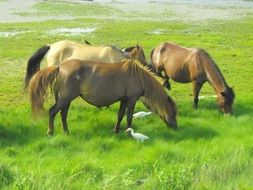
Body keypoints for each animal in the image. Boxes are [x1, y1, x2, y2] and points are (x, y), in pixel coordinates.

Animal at [28, 59, 178, 135]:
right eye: (173, 112)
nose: (175, 127)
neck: (139, 77)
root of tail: (59, 67)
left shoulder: (124, 100)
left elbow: (120, 115)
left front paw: (116, 131)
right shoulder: (131, 100)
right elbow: (129, 117)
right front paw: (128, 132)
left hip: (66, 99)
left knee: (63, 114)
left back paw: (66, 132)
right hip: (65, 98)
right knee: (52, 111)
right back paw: (50, 132)